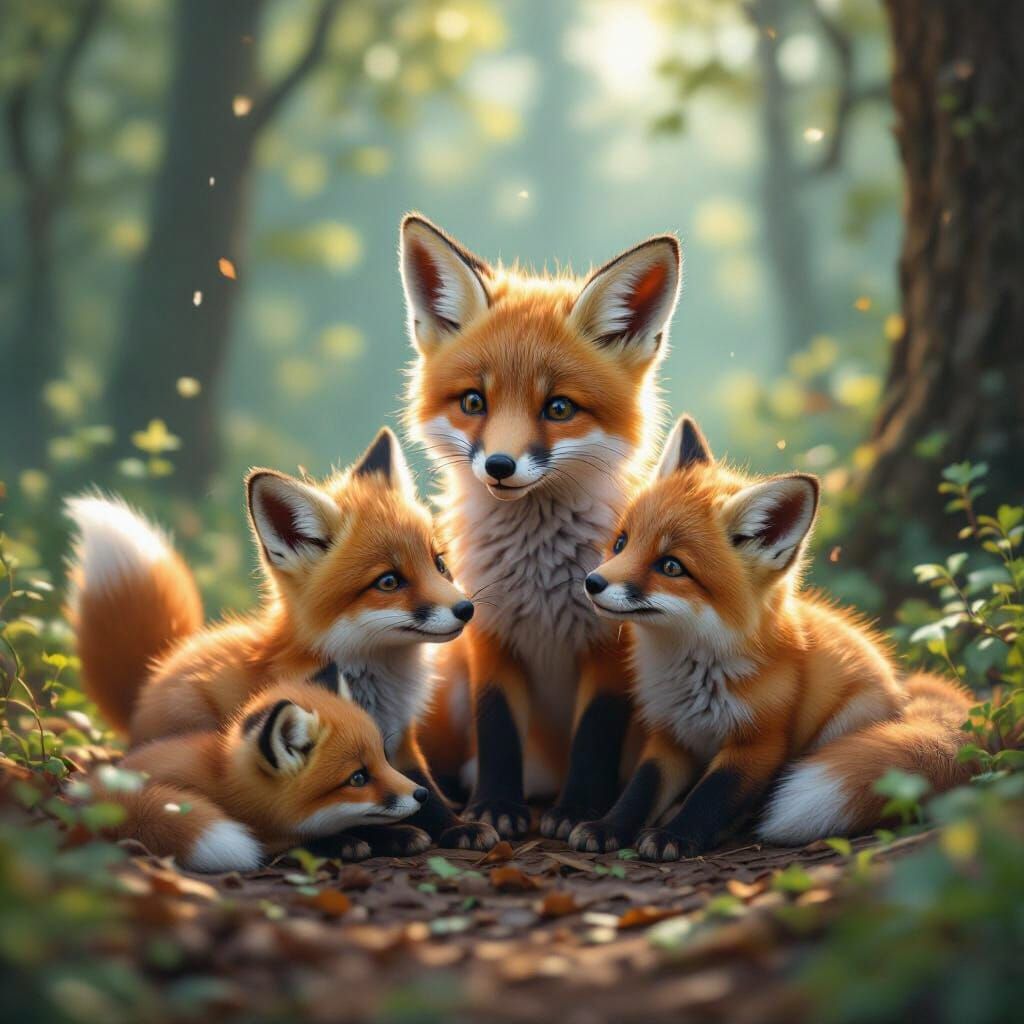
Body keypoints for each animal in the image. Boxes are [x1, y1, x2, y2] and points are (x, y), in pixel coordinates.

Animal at [88, 673, 428, 872]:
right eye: (358, 778)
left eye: (385, 759)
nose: (422, 793)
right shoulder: (266, 837)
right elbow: (305, 841)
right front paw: (343, 843)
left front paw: (399, 834)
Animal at [401, 214, 682, 841]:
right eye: (473, 402)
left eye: (558, 408)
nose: (499, 467)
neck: (541, 578)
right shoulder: (489, 631)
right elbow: (497, 726)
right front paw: (493, 808)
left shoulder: (610, 641)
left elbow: (595, 734)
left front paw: (578, 811)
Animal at [569, 414, 974, 860]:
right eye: (621, 543)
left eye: (671, 567)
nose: (592, 583)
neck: (690, 673)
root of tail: (904, 691)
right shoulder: (670, 736)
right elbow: (641, 789)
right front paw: (608, 827)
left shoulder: (758, 744)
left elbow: (710, 797)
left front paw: (676, 836)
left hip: (845, 721)